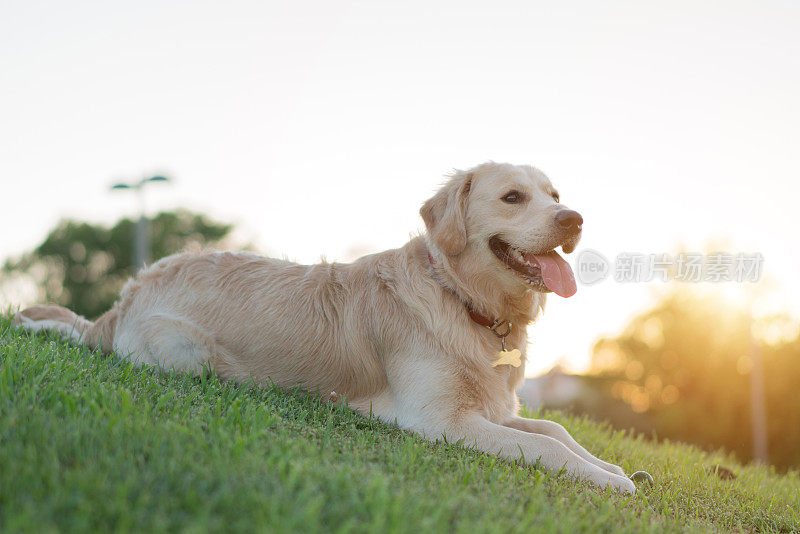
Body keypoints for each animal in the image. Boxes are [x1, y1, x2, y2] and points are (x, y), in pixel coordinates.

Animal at [12, 162, 636, 494]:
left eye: (555, 195)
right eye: (512, 197)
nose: (575, 218)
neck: (463, 299)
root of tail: (125, 298)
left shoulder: (492, 407)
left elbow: (555, 431)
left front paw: (613, 467)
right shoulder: (439, 421)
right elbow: (545, 447)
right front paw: (611, 482)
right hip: (189, 352)